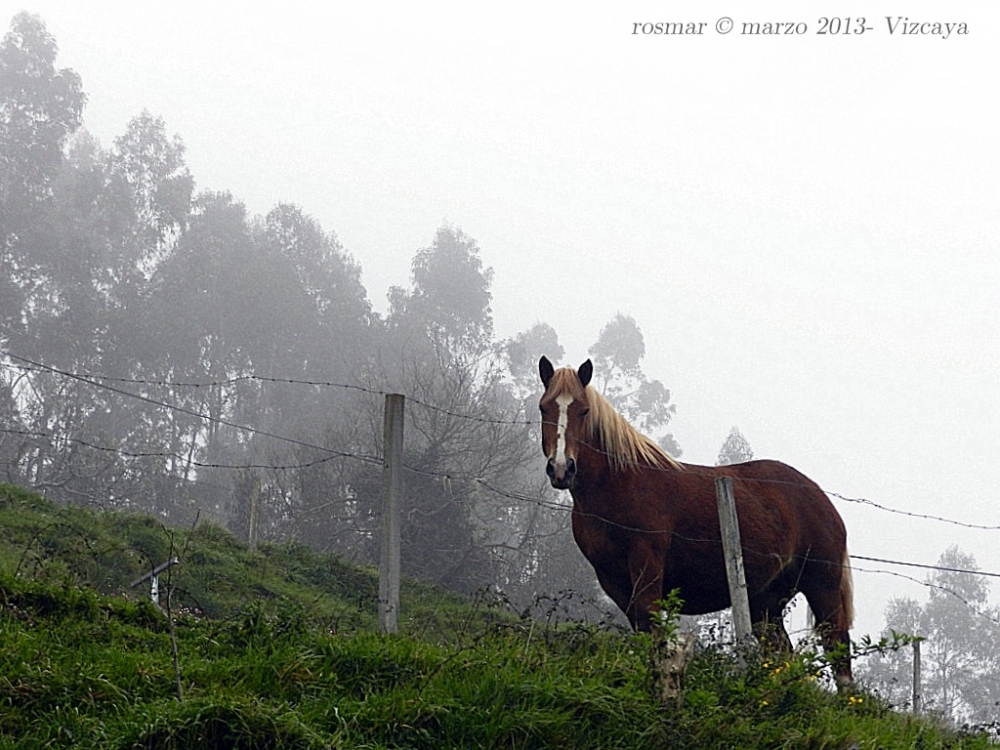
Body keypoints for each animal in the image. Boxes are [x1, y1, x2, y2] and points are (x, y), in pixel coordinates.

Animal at [540, 360, 852, 688]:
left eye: (584, 411)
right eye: (544, 408)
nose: (561, 468)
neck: (618, 483)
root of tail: (820, 497)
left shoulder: (647, 566)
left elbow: (652, 630)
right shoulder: (612, 579)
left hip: (822, 588)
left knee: (838, 650)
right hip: (766, 602)